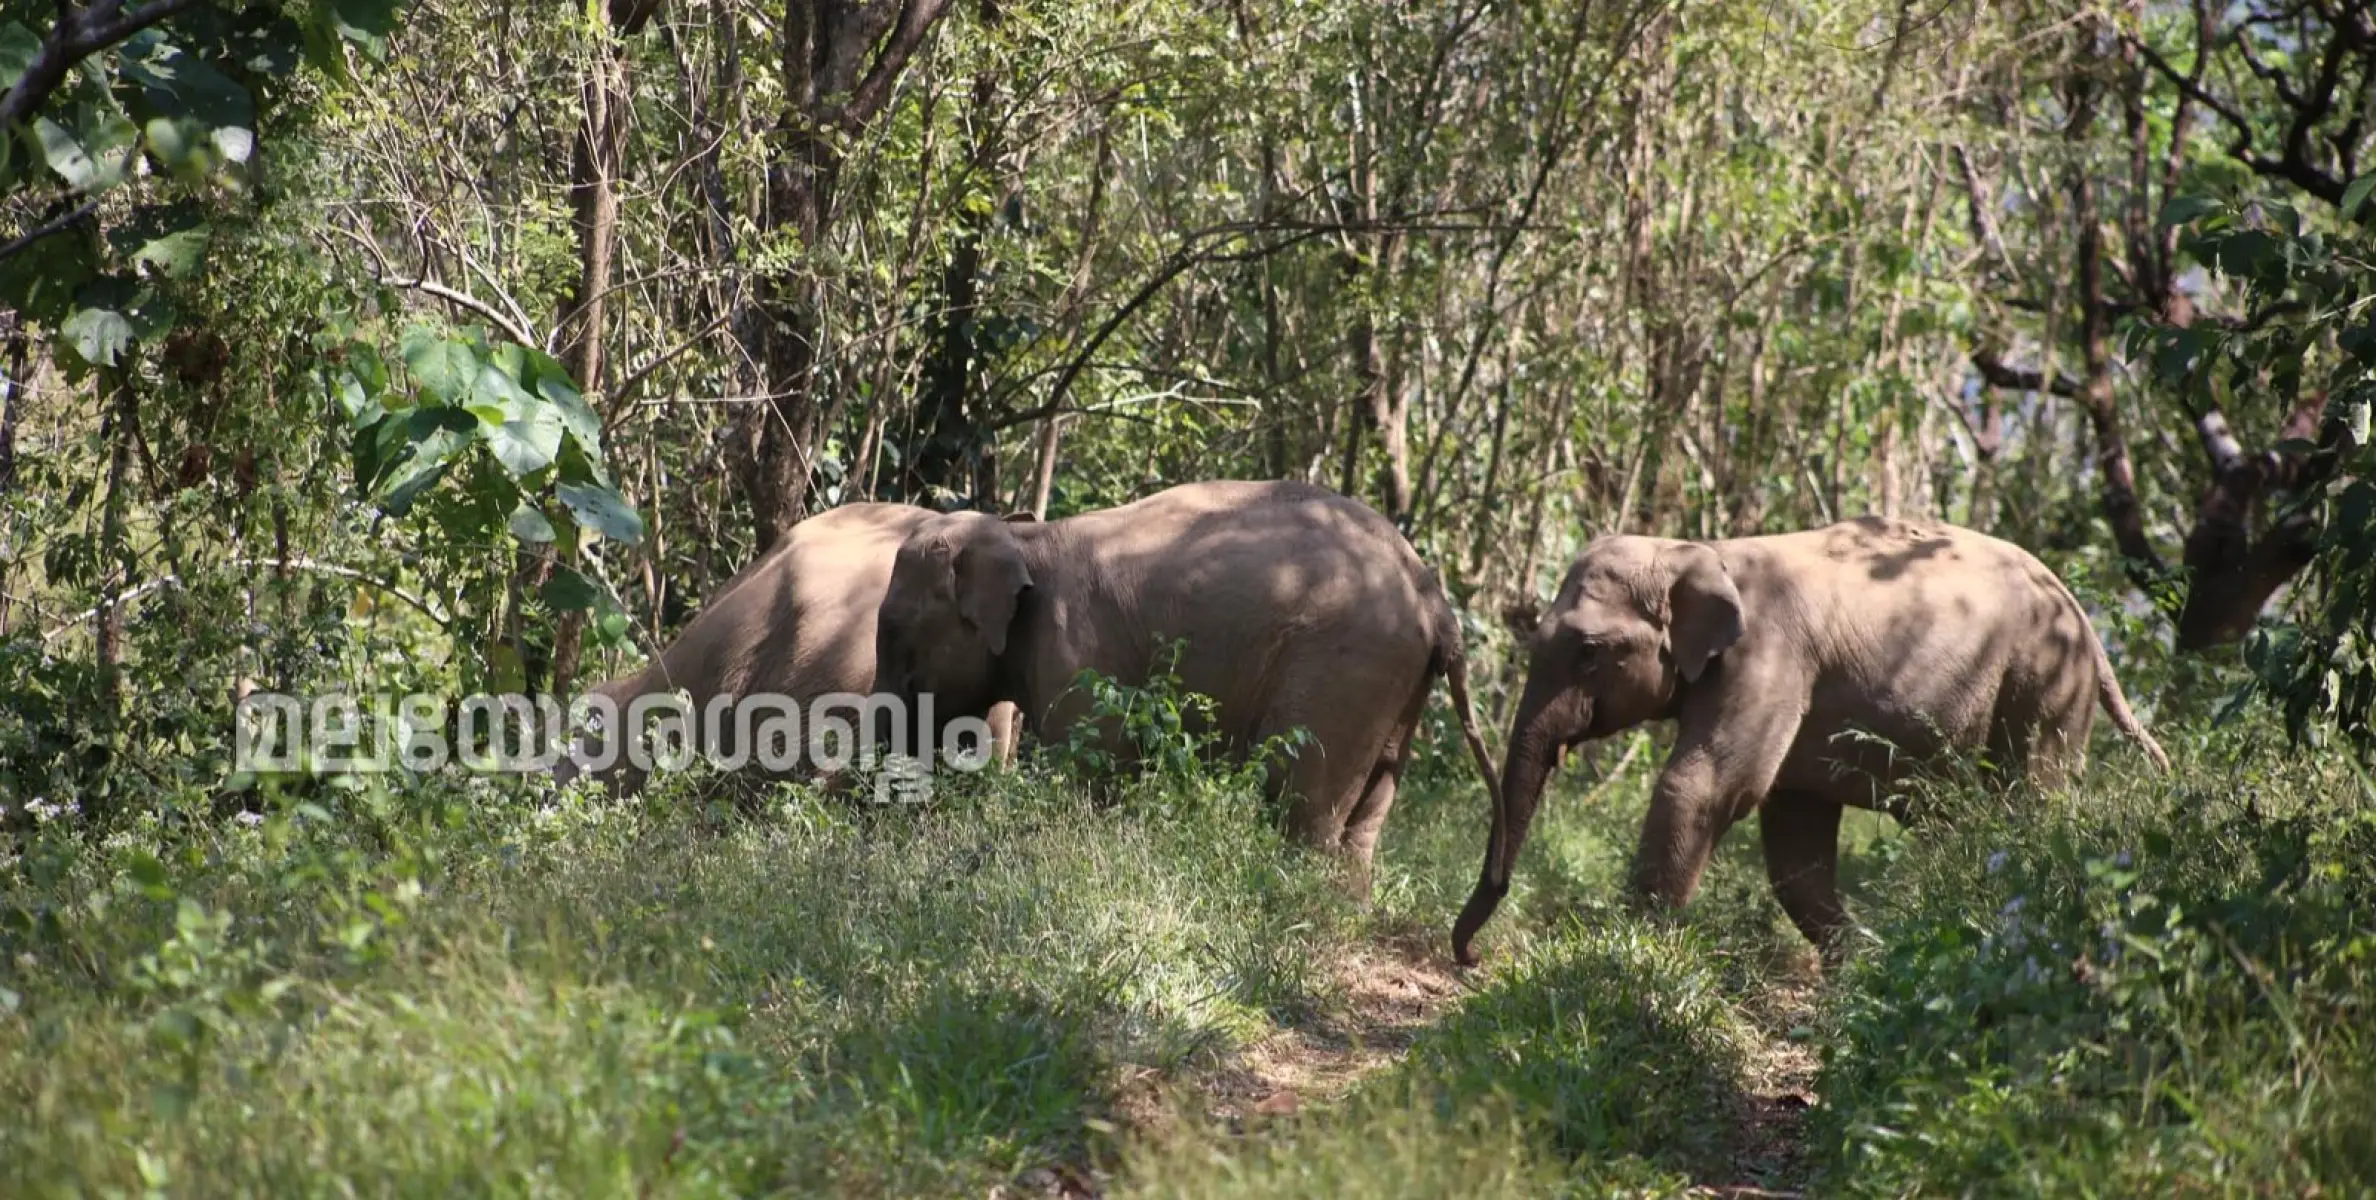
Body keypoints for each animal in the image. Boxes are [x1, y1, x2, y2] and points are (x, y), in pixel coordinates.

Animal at [874, 477, 1501, 888]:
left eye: (894, 627)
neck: (1023, 539)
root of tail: (1432, 596)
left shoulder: (1077, 652)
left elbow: (1091, 770)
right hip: (1398, 686)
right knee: (1366, 816)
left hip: (1345, 668)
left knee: (1301, 802)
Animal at [1444, 515, 2176, 964]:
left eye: (1590, 652)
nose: (1470, 956)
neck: (1699, 550)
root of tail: (2087, 620)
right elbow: (1793, 843)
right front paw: (1860, 966)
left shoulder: (1771, 658)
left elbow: (1708, 787)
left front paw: (1621, 951)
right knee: (1957, 819)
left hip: (2047, 683)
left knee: (2031, 799)